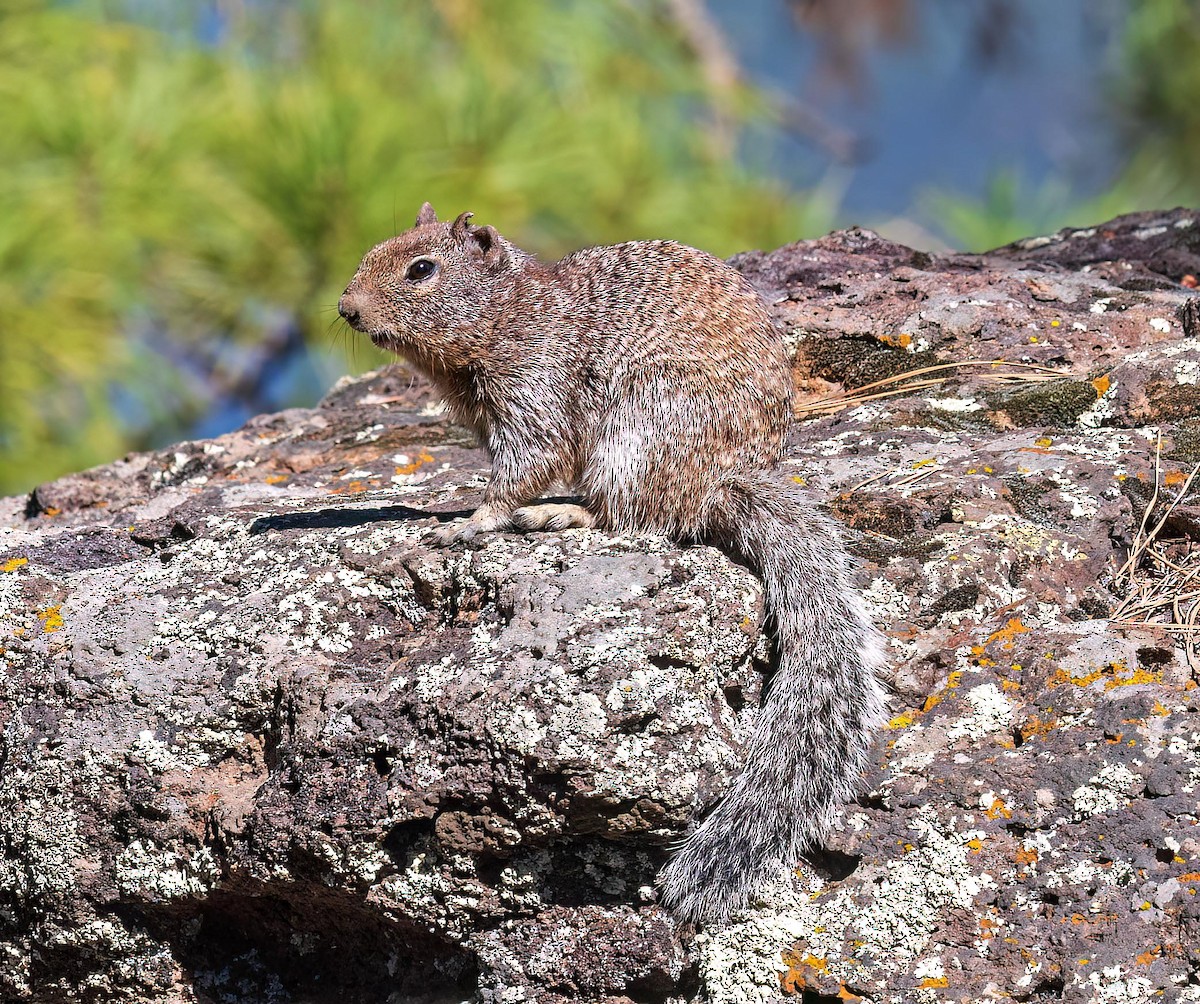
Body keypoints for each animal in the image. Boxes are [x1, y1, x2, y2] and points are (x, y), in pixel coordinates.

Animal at [338, 203, 887, 923]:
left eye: (421, 268)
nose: (345, 308)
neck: (506, 311)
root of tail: (724, 484)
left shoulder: (533, 389)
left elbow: (525, 466)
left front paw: (472, 521)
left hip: (635, 435)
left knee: (630, 515)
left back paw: (561, 515)